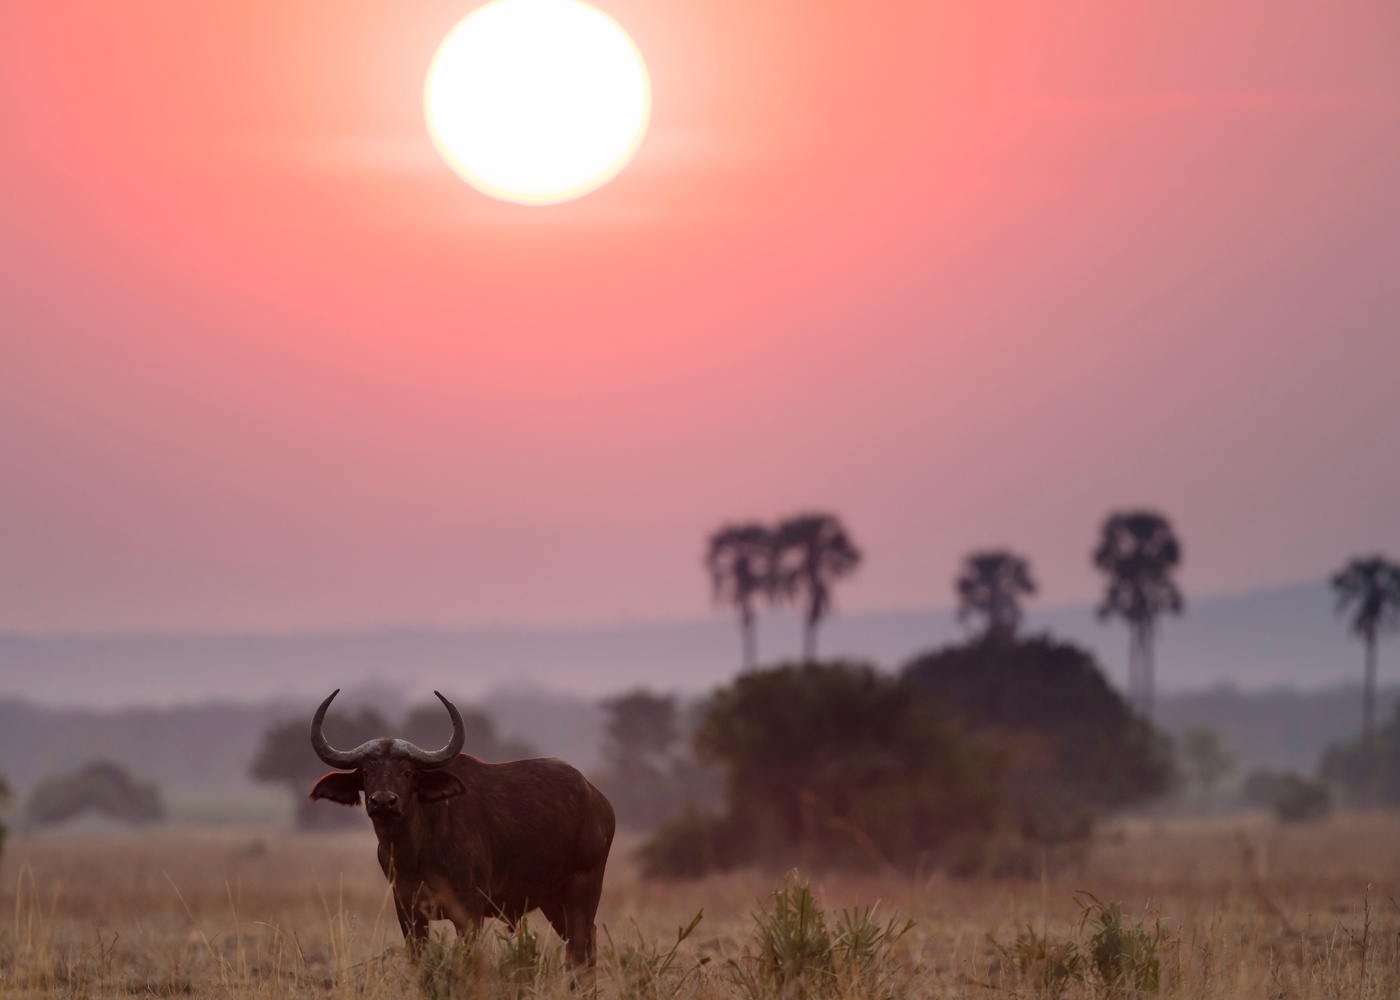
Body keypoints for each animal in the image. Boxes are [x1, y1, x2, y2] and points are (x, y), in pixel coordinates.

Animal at [306, 686, 613, 963]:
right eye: (366, 772)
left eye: (408, 772)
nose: (384, 802)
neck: (416, 853)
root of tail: (599, 802)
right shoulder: (408, 911)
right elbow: (418, 960)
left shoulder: (469, 911)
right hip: (551, 900)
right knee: (587, 942)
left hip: (582, 889)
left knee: (579, 949)